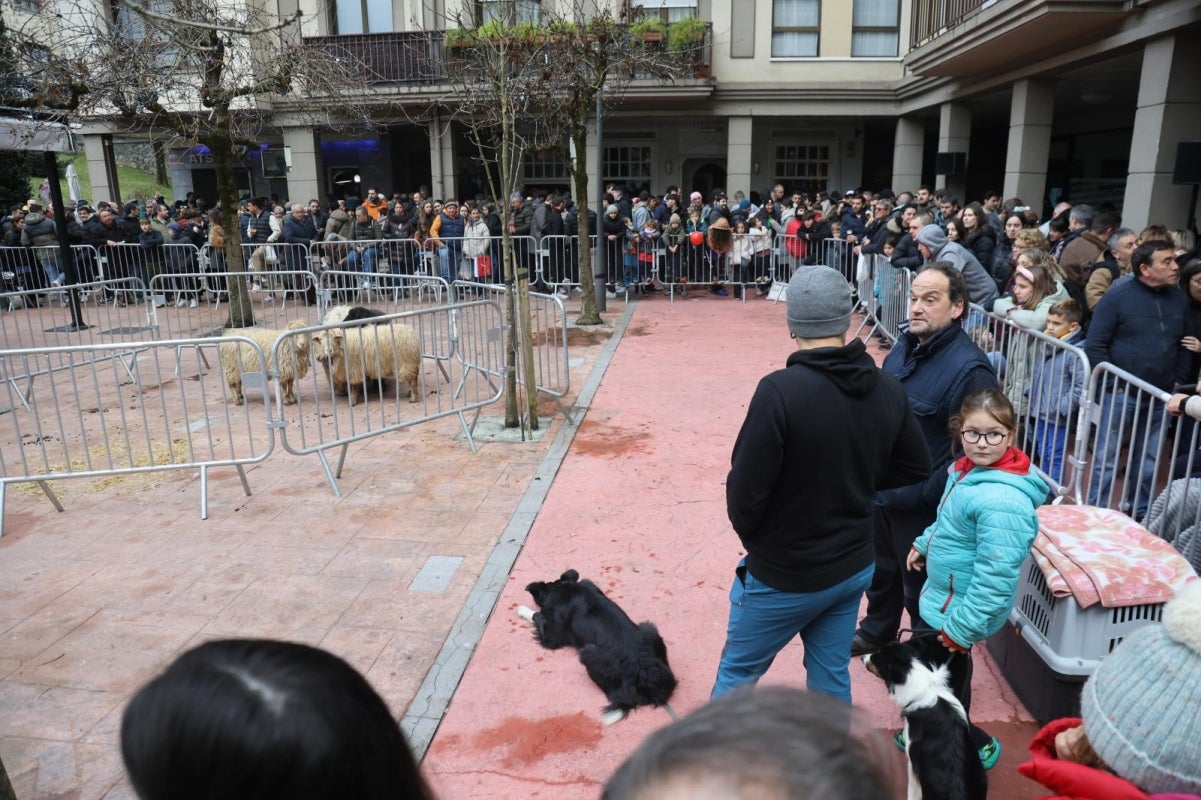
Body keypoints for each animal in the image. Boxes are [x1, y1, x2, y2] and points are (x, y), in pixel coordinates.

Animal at [516, 566, 677, 720]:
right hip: (648, 628)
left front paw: (523, 610)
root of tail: (649, 676)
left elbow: (537, 615)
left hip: (587, 652)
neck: (563, 588)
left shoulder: (552, 637)